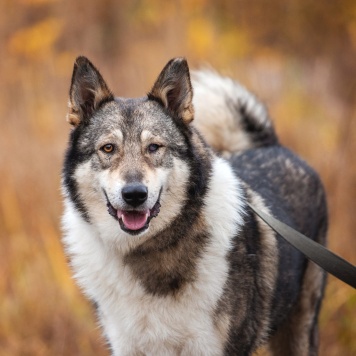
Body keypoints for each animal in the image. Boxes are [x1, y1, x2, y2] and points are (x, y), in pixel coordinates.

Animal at [60, 57, 326, 354]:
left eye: (154, 147)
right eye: (108, 148)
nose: (134, 194)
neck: (146, 252)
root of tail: (271, 144)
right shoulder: (126, 346)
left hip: (300, 331)